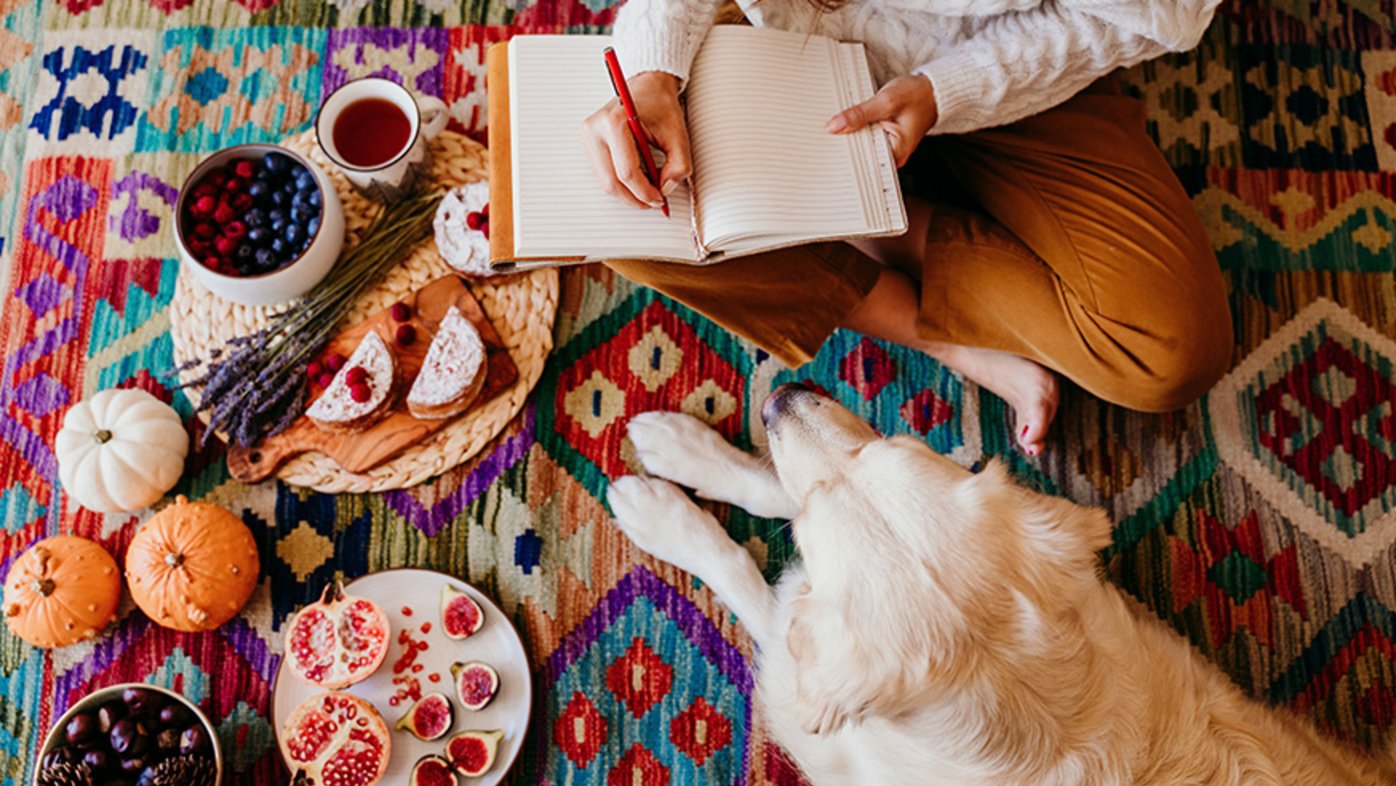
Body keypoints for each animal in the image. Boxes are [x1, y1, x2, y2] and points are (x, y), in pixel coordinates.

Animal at [608, 385, 1396, 781]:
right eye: (901, 439)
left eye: (806, 533)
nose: (778, 397)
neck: (1027, 693)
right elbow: (772, 482)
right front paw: (688, 450)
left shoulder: (804, 692)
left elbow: (752, 576)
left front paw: (663, 511)